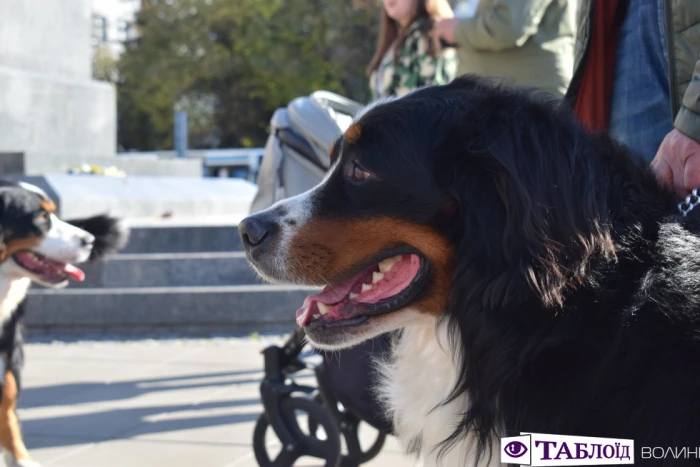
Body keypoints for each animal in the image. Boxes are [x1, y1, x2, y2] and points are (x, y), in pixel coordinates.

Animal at [0, 180, 126, 467]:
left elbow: (7, 412)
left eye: (53, 213)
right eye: (40, 217)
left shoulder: (8, 351)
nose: (89, 240)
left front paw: (21, 459)